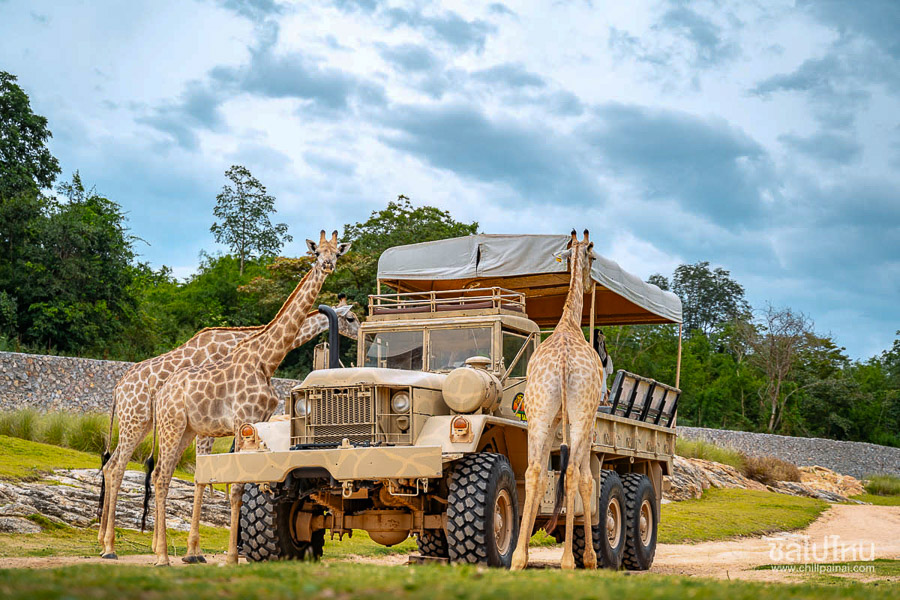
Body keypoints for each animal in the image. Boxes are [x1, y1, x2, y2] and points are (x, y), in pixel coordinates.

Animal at [97, 297, 359, 560]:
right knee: (118, 468)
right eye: (351, 318)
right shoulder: (212, 426)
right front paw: (198, 551)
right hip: (137, 420)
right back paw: (110, 547)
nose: (359, 336)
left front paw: (200, 549)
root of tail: (118, 387)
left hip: (143, 424)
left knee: (113, 465)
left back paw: (108, 541)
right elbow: (205, 479)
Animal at [150, 230, 348, 566]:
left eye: (337, 252)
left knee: (160, 475)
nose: (327, 265)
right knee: (162, 478)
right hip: (171, 426)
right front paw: (232, 557)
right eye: (316, 251)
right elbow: (236, 489)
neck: (267, 359)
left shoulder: (259, 422)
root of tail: (162, 393)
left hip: (188, 430)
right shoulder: (243, 419)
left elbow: (243, 487)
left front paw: (234, 553)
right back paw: (162, 556)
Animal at [510, 229, 604, 571]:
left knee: (533, 470)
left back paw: (518, 558)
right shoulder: (590, 418)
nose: (591, 284)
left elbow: (541, 478)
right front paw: (589, 558)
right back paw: (569, 561)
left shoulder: (551, 419)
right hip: (579, 415)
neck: (569, 322)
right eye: (594, 257)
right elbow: (587, 479)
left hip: (538, 413)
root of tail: (563, 364)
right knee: (574, 473)